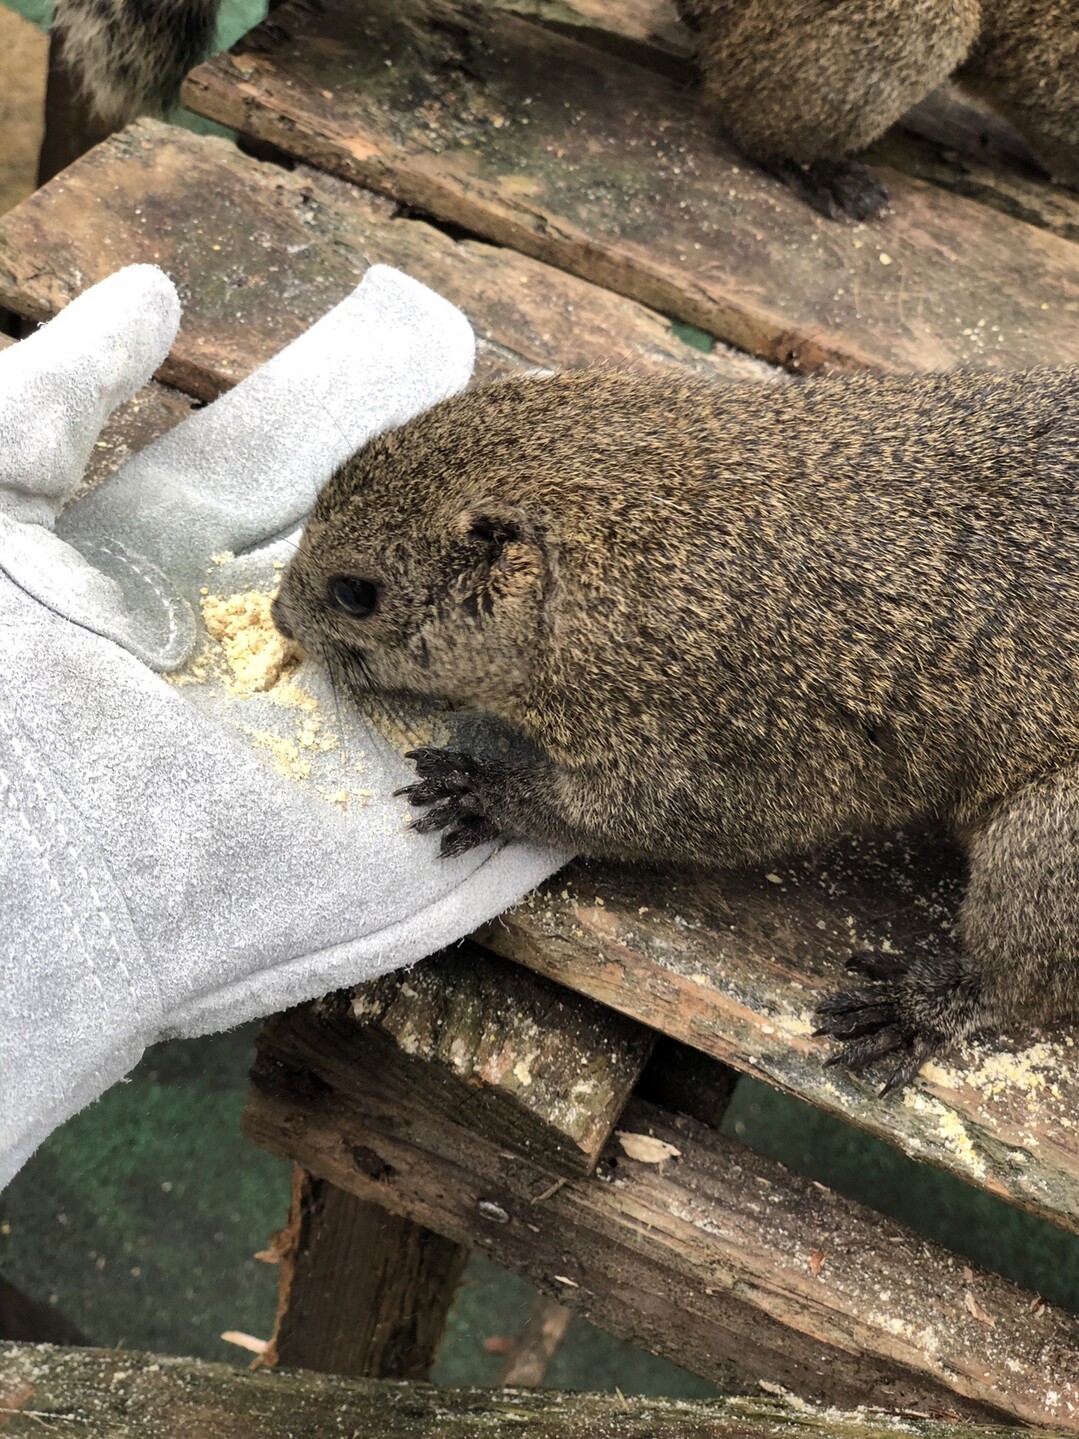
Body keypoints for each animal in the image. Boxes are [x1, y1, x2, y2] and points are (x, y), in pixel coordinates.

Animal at [271, 368, 1079, 1087]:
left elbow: (657, 816)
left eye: (355, 593)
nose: (278, 616)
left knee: (1022, 979)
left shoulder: (744, 739)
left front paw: (485, 793)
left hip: (1048, 839)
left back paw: (925, 1003)